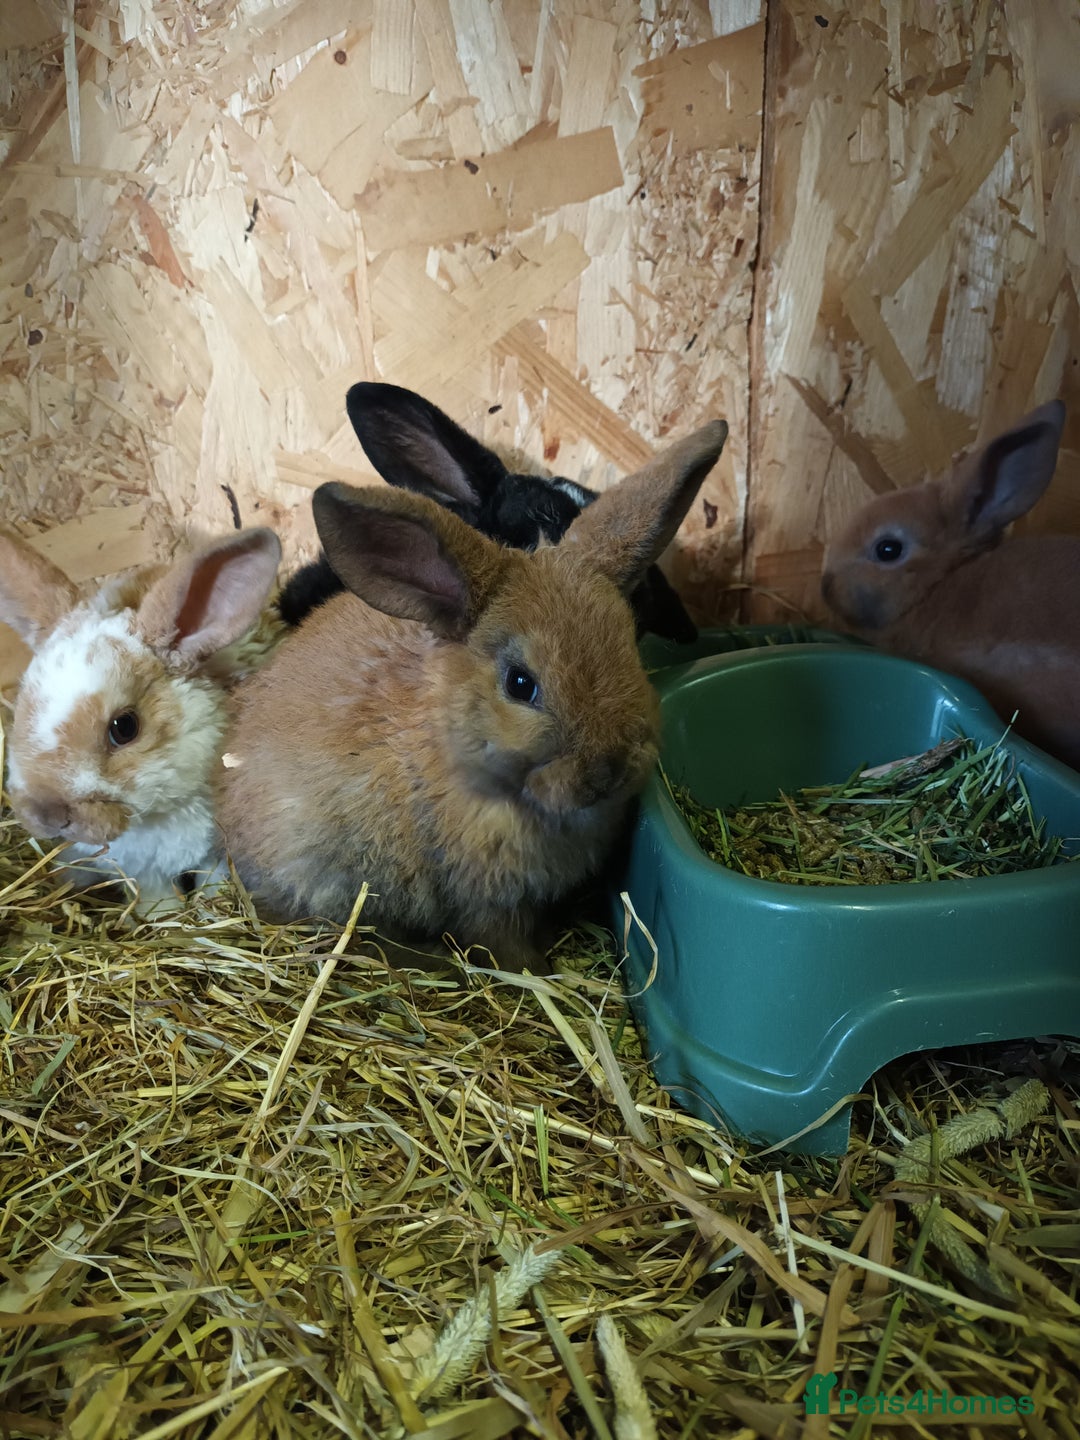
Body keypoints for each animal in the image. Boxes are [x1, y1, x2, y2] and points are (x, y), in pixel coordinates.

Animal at [0, 524, 283, 907]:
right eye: (22, 704)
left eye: (124, 727)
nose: (47, 816)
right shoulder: (142, 873)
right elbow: (156, 902)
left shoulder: (216, 855)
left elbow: (213, 886)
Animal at [218, 419, 729, 970]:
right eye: (520, 684)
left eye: (629, 645)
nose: (606, 773)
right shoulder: (486, 903)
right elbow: (503, 944)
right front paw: (535, 972)